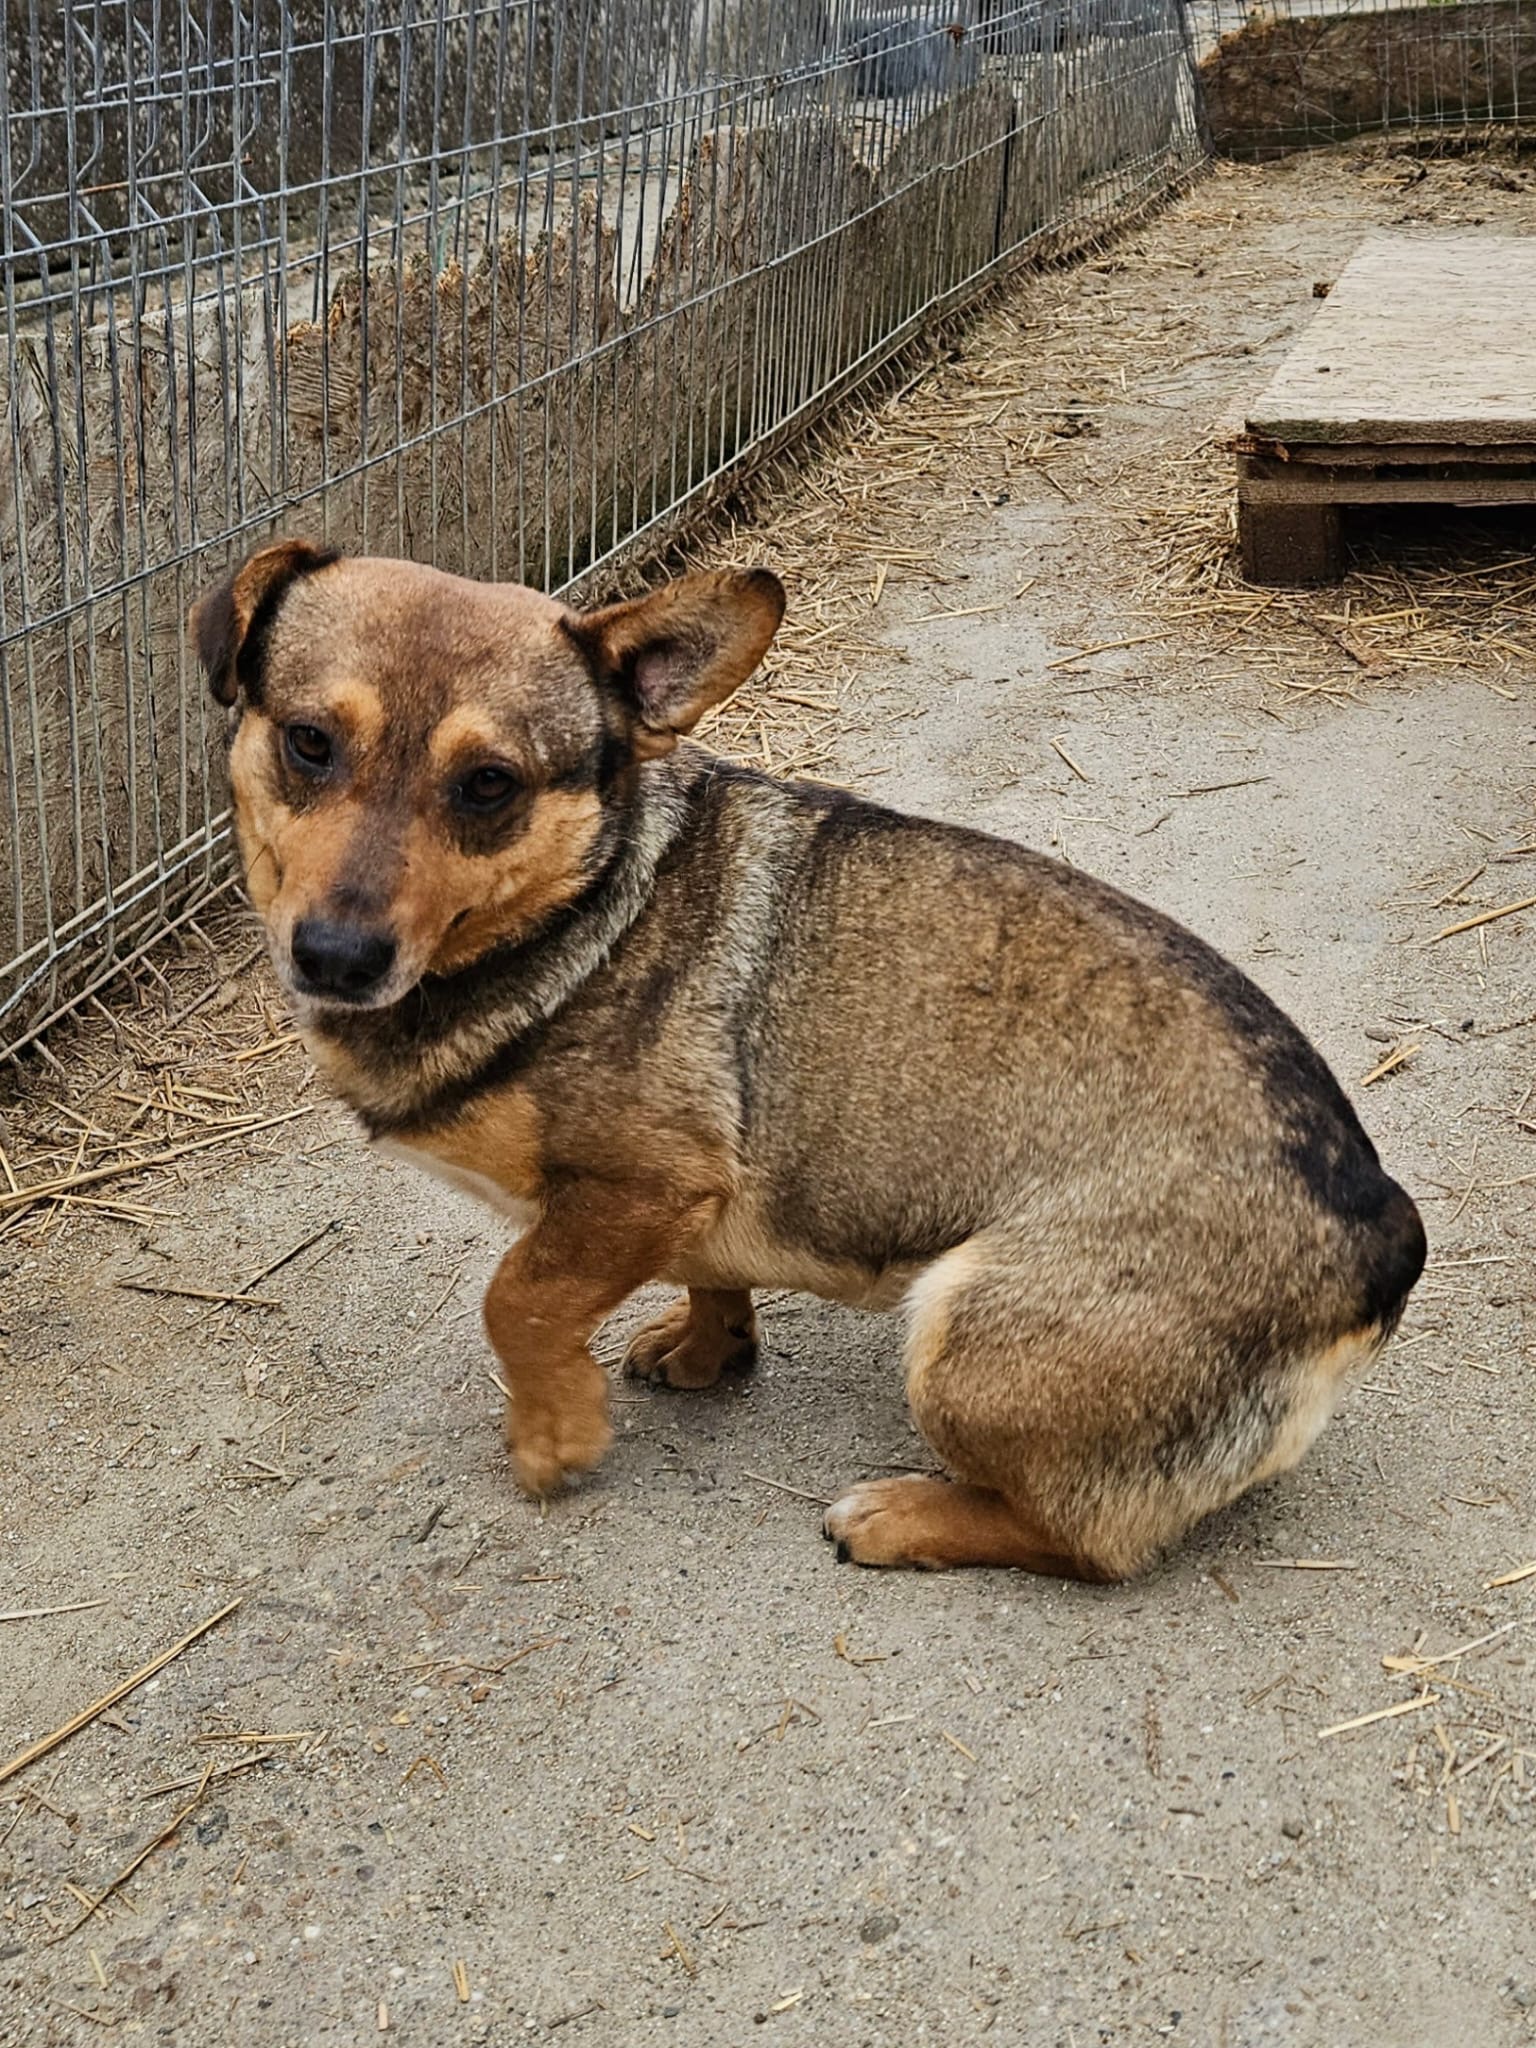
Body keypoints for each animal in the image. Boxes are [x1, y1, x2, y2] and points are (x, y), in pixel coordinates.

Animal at [192, 540, 1425, 1579]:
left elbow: (519, 1298)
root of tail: (1382, 1226)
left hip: (965, 1341)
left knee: (1090, 1543)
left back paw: (901, 1516)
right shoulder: (687, 1200)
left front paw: (554, 1435)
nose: (335, 956)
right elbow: (705, 1274)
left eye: (488, 784)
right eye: (309, 741)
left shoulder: (631, 1190)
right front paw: (706, 1350)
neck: (583, 911)